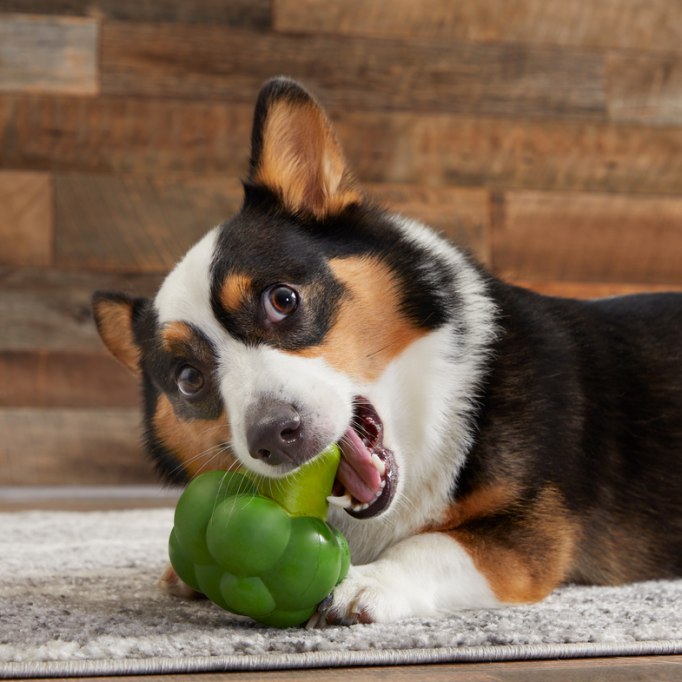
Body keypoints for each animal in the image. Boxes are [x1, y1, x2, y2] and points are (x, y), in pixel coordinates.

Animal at [93, 77, 680, 624]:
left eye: (282, 300)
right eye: (189, 378)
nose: (274, 437)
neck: (438, 416)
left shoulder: (527, 536)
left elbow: (429, 544)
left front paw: (364, 584)